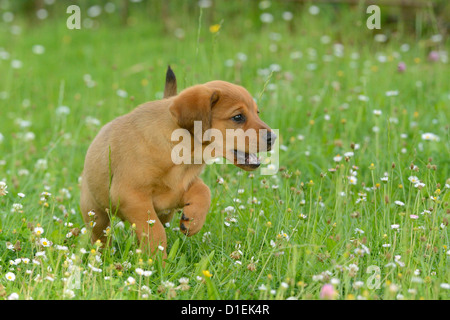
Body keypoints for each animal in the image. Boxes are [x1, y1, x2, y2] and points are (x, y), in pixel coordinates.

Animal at [81, 67, 278, 258]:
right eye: (238, 117)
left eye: (257, 113)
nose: (273, 138)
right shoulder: (131, 195)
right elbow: (155, 231)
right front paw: (156, 259)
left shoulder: (179, 190)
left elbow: (204, 192)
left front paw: (192, 221)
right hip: (95, 214)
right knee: (100, 237)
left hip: (165, 215)